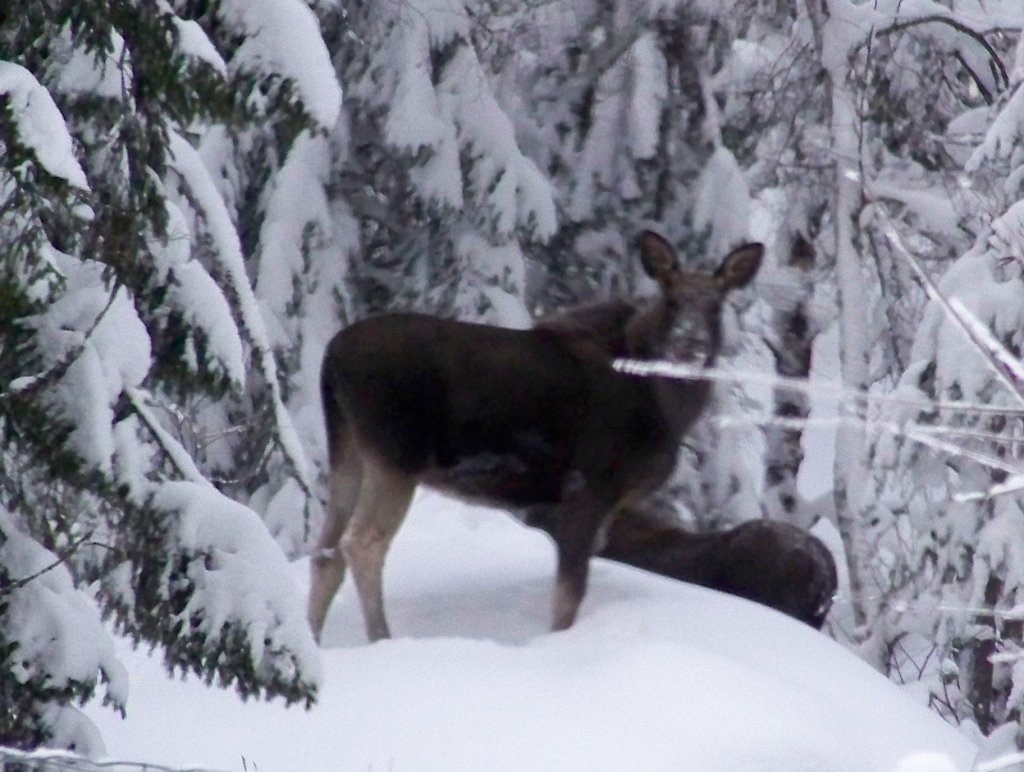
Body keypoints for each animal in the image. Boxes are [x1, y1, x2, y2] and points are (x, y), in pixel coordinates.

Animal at [307, 231, 765, 638]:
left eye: (716, 305)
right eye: (670, 299)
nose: (690, 343)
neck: (666, 409)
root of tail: (330, 357)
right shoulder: (588, 488)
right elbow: (567, 599)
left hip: (348, 448)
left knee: (325, 551)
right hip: (397, 453)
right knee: (362, 544)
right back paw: (382, 637)